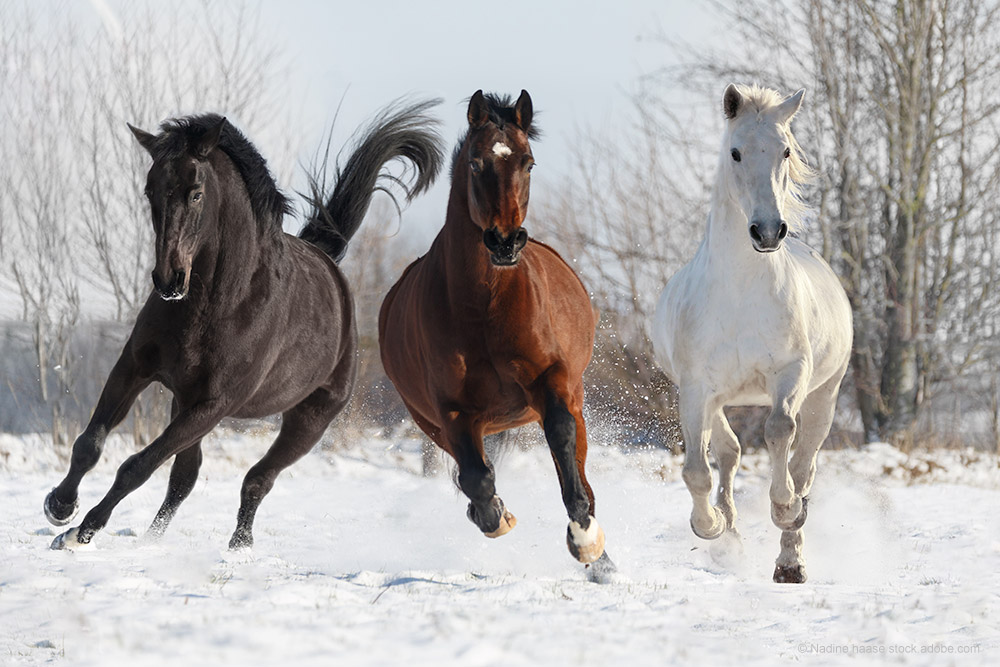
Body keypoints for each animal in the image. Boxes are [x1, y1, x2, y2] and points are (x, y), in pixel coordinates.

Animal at [43, 102, 442, 552]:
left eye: (196, 192)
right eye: (150, 191)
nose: (168, 280)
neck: (217, 302)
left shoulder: (215, 404)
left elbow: (137, 465)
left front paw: (80, 532)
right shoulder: (136, 368)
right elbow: (89, 445)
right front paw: (60, 507)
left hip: (309, 419)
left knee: (257, 479)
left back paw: (238, 547)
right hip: (185, 404)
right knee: (185, 477)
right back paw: (153, 539)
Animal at [378, 91, 612, 576]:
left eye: (529, 162)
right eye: (475, 162)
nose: (504, 242)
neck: (485, 307)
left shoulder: (553, 382)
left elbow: (561, 438)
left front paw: (584, 537)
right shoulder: (451, 410)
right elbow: (475, 477)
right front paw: (494, 515)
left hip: (571, 399)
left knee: (579, 465)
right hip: (432, 423)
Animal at [652, 85, 856, 584]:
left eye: (785, 151)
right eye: (736, 152)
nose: (767, 231)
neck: (741, 293)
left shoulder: (790, 373)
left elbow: (779, 430)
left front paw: (784, 508)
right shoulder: (695, 388)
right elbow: (697, 469)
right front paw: (710, 527)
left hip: (824, 396)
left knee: (803, 466)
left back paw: (790, 560)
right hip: (719, 398)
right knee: (728, 452)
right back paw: (729, 536)